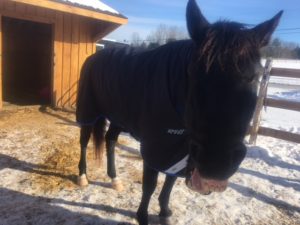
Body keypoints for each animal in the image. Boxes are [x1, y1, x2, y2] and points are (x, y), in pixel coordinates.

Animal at [75, 0, 282, 224]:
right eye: (193, 74)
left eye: (254, 77)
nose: (216, 165)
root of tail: (97, 55)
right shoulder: (156, 148)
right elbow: (150, 186)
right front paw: (142, 216)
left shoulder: (179, 150)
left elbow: (169, 184)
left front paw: (164, 212)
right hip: (88, 111)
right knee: (84, 141)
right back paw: (82, 177)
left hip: (119, 117)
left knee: (110, 140)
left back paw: (114, 179)